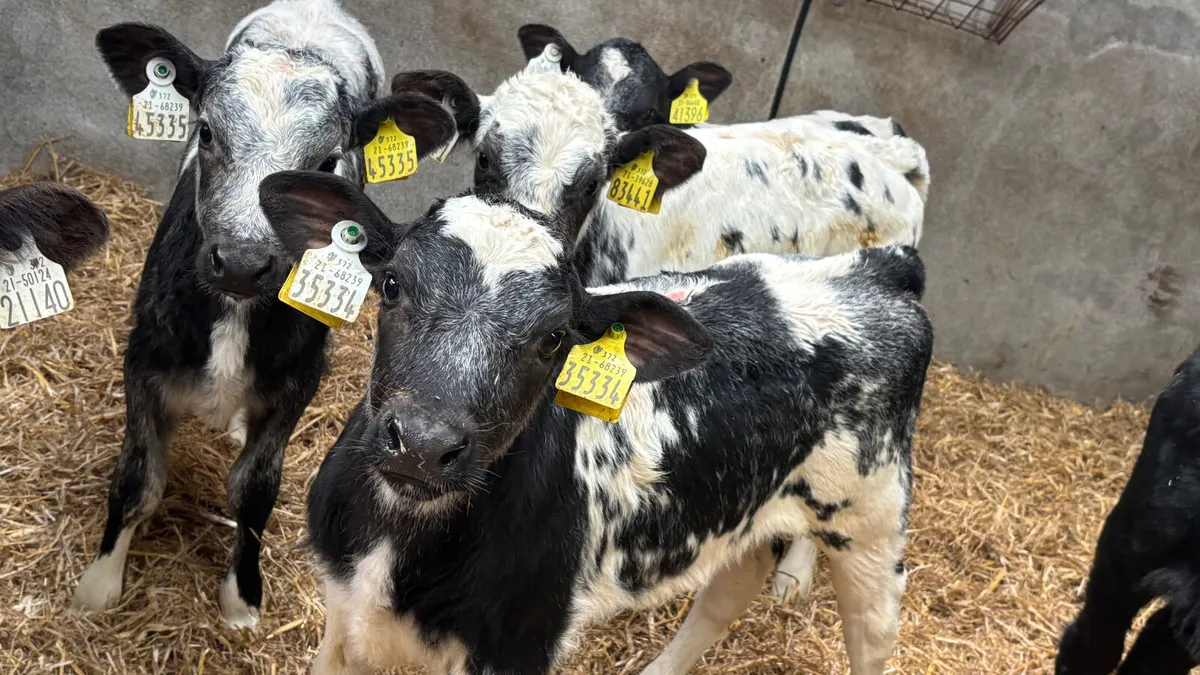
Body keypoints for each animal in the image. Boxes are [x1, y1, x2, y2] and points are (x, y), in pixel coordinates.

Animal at [70, 0, 457, 630]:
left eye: (329, 161)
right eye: (206, 131)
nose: (242, 262)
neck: (235, 311)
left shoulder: (298, 379)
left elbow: (255, 489)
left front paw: (241, 595)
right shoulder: (144, 359)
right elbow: (137, 480)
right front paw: (99, 584)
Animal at [256, 166, 933, 675]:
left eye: (555, 337)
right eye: (393, 283)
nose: (423, 445)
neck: (396, 547)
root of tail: (873, 268)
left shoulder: (519, 642)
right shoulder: (343, 613)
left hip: (872, 524)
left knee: (872, 634)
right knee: (725, 592)